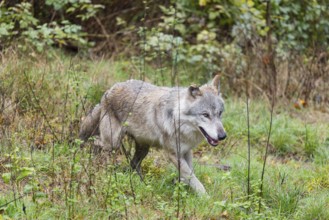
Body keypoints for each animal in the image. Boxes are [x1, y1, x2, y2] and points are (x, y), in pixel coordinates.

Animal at [80, 75, 226, 194]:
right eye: (205, 115)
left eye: (220, 113)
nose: (223, 136)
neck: (177, 119)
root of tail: (109, 90)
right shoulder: (173, 154)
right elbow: (193, 178)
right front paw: (206, 198)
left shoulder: (186, 151)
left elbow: (190, 174)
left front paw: (183, 188)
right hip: (113, 143)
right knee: (96, 142)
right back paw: (95, 162)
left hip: (143, 148)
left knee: (133, 164)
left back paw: (141, 183)